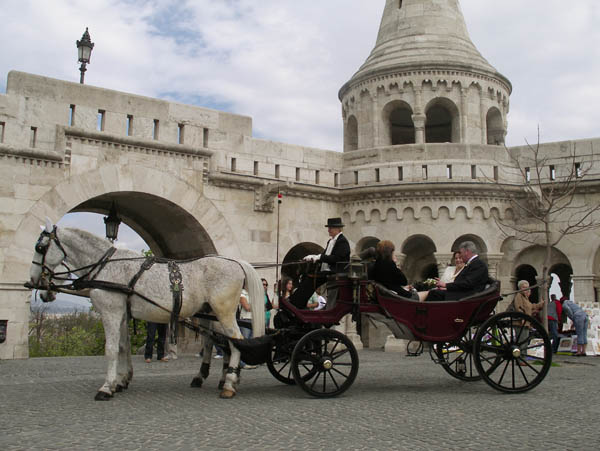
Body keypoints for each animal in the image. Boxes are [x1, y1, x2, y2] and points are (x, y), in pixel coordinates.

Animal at [28, 221, 262, 400]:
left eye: (40, 248)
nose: (33, 282)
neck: (107, 266)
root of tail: (237, 262)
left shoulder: (111, 311)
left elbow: (111, 349)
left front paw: (106, 387)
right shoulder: (122, 313)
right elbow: (123, 347)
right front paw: (121, 381)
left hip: (224, 312)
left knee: (236, 341)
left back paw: (229, 383)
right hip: (210, 314)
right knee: (216, 342)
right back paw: (216, 377)